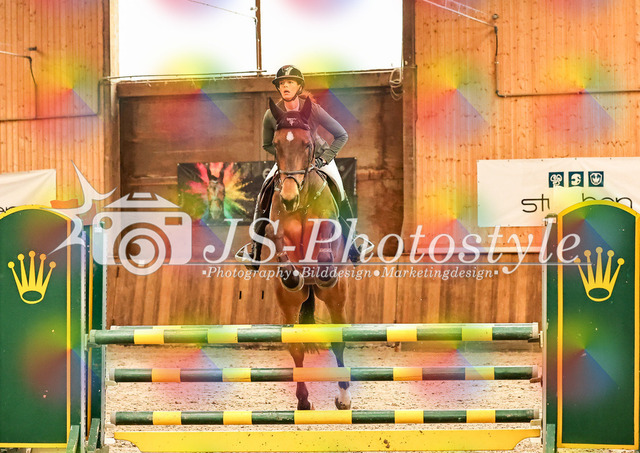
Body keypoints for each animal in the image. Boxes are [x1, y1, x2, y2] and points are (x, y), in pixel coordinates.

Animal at [264, 97, 352, 411]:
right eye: (276, 144)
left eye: (307, 145)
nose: (289, 198)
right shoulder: (280, 232)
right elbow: (279, 243)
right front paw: (291, 275)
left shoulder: (326, 228)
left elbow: (325, 246)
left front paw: (321, 269)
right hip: (289, 304)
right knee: (296, 346)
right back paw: (303, 401)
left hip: (337, 298)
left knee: (338, 339)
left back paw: (344, 398)